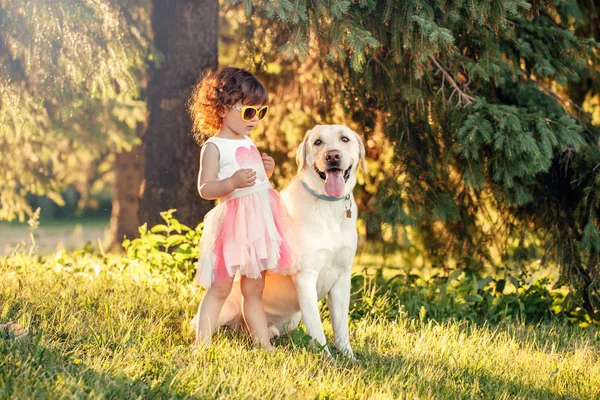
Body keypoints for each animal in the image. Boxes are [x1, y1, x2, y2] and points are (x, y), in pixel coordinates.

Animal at [216, 125, 366, 360]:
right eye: (318, 142)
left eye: (345, 139)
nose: (332, 156)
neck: (328, 205)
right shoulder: (306, 278)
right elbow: (317, 330)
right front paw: (328, 360)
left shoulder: (342, 277)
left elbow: (341, 328)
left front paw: (349, 358)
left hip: (291, 318)